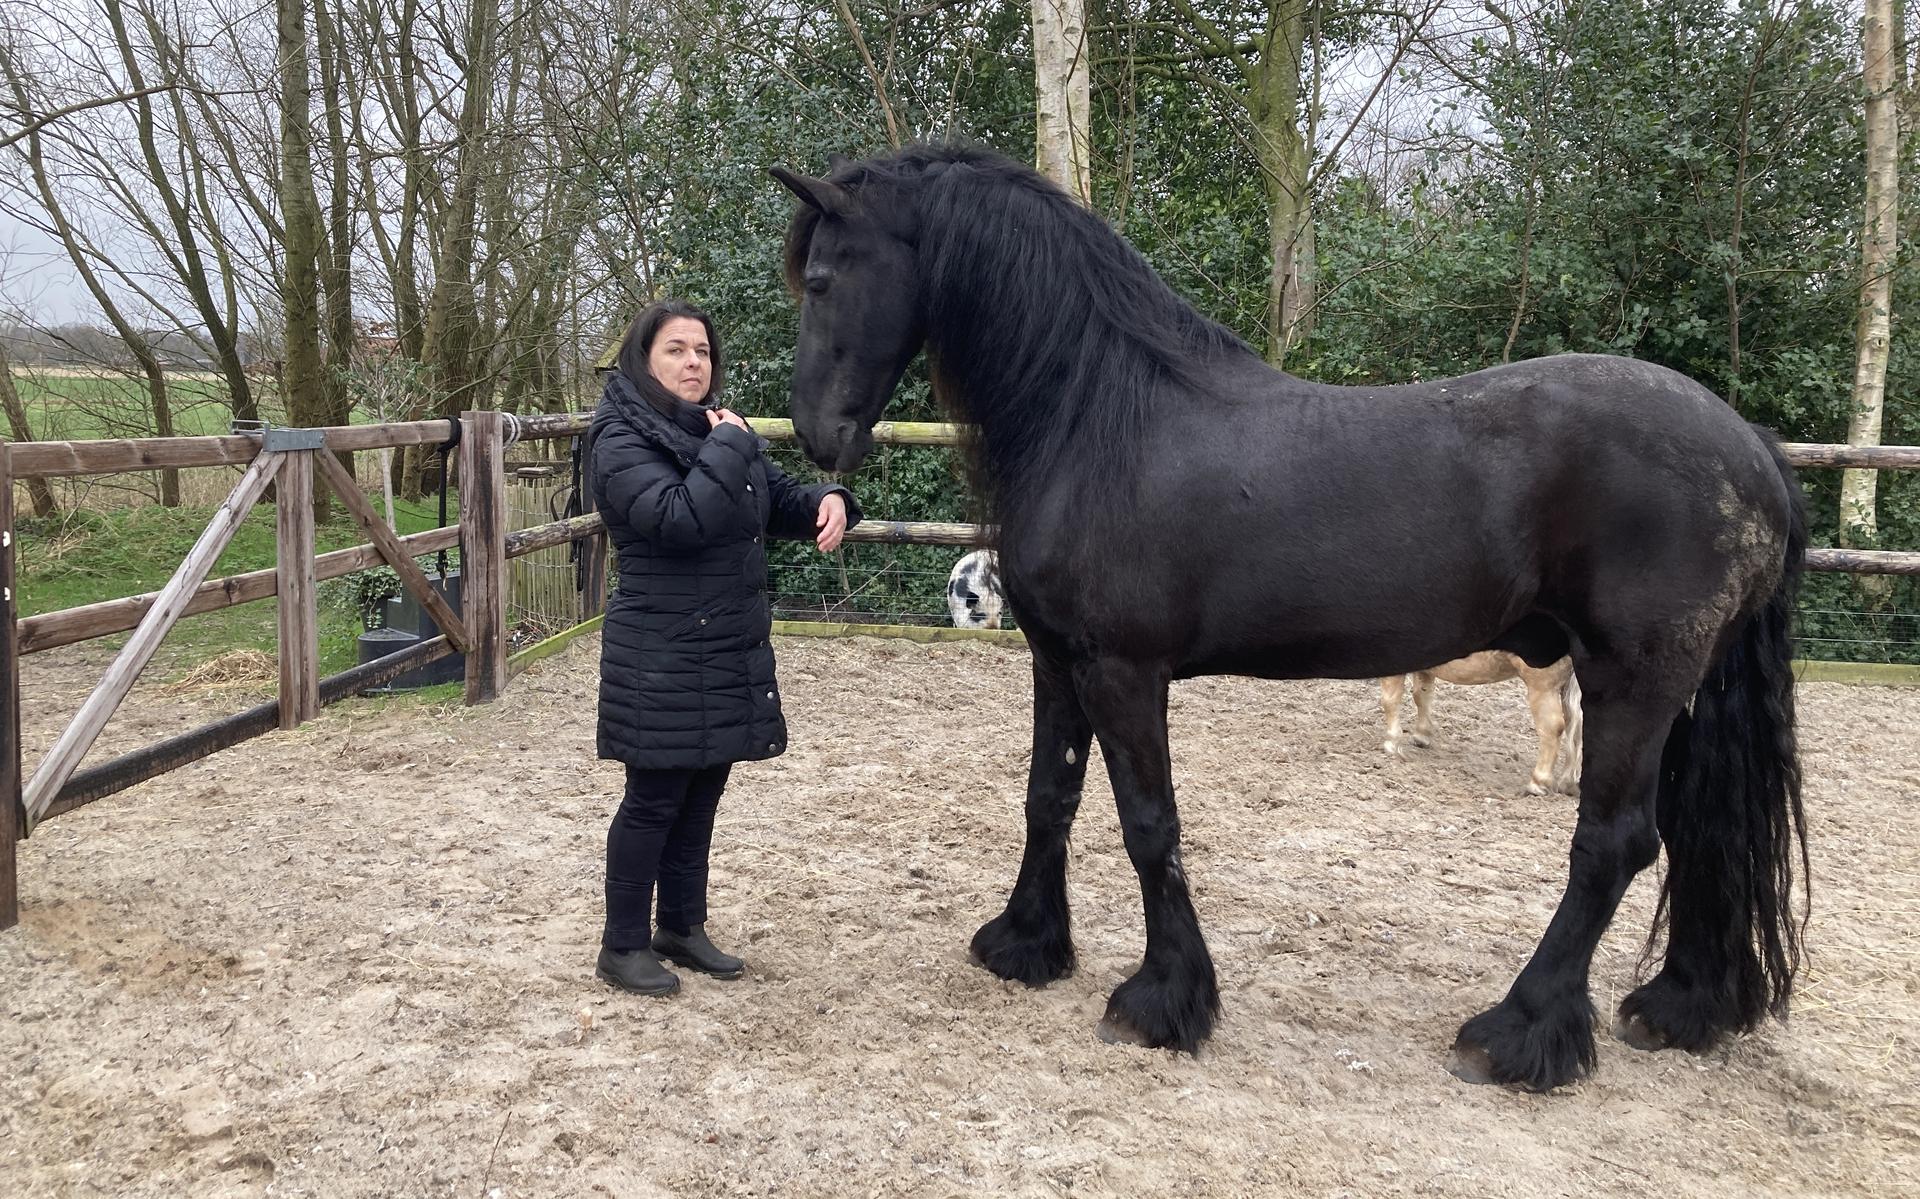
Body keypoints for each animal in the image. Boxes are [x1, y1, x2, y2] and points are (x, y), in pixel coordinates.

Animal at [1381, 653, 1583, 796]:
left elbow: (1390, 699)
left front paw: (1392, 743)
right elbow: (1422, 695)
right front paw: (1421, 735)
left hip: (1542, 684)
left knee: (1552, 727)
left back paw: (1539, 783)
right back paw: (1568, 783)